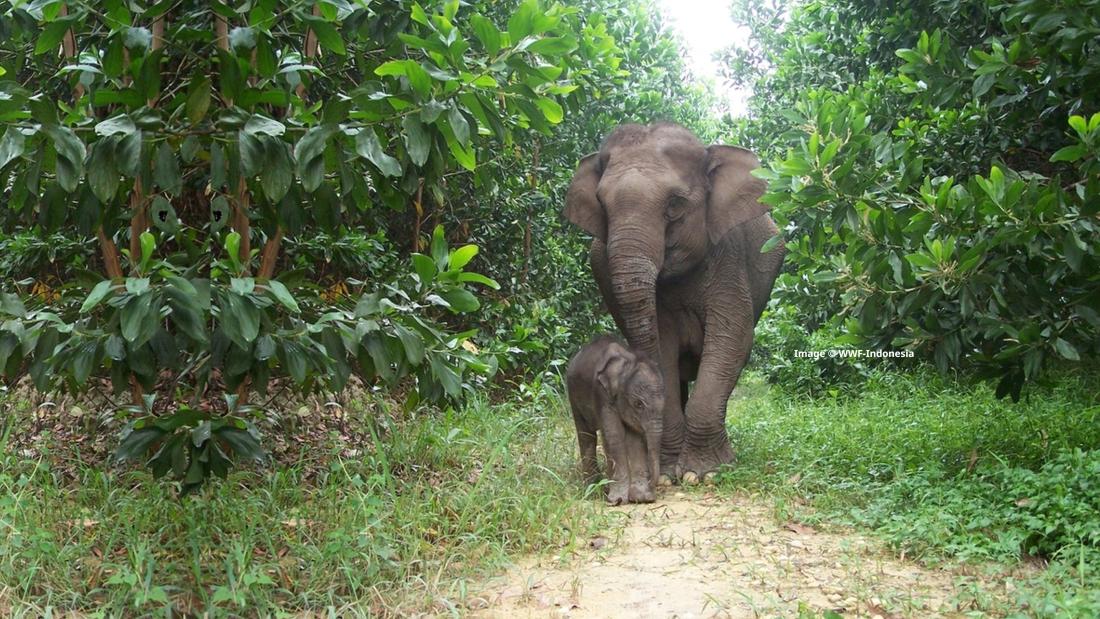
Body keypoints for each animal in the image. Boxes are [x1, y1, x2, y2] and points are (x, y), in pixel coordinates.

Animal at [563, 122, 785, 484]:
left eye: (675, 204)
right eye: (601, 206)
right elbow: (662, 345)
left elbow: (731, 338)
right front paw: (670, 473)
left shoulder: (729, 255)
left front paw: (703, 472)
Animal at [567, 335, 666, 505]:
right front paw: (618, 500)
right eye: (638, 404)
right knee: (586, 435)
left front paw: (641, 498)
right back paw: (593, 489)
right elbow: (614, 434)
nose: (652, 486)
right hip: (572, 394)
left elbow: (634, 438)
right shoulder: (601, 393)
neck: (628, 362)